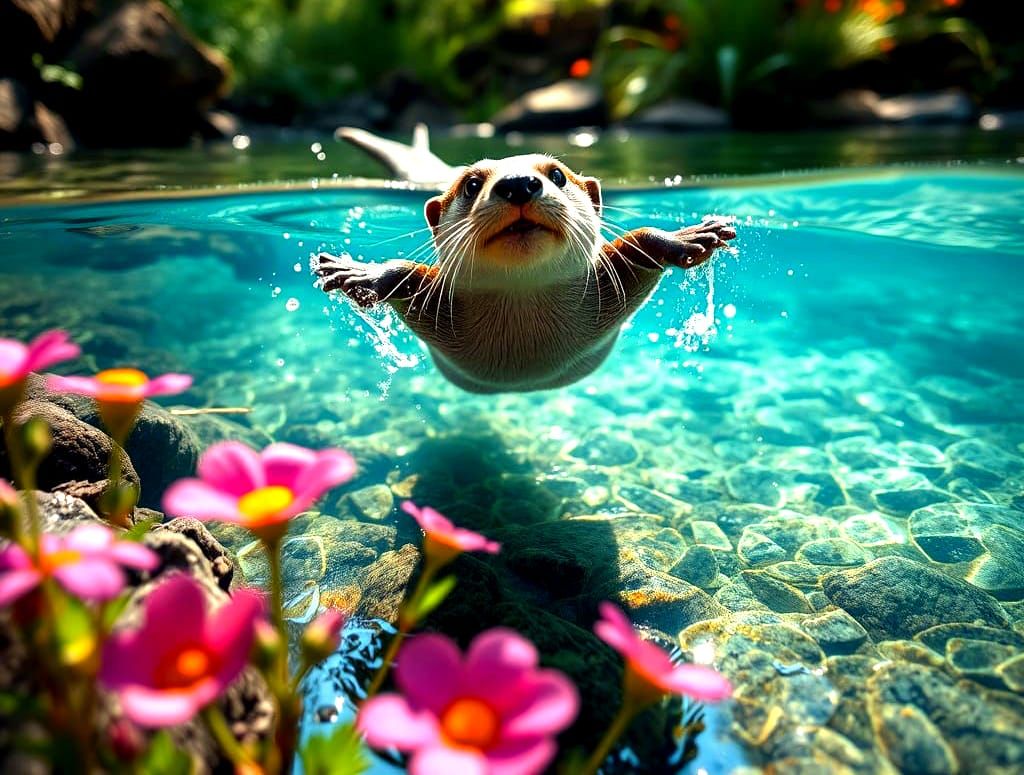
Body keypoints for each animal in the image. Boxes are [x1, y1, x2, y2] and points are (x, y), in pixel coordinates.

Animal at [314, 127, 736, 393]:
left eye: (557, 175)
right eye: (471, 184)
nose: (518, 183)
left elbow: (637, 241)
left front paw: (686, 238)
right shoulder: (434, 301)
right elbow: (407, 273)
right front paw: (361, 274)